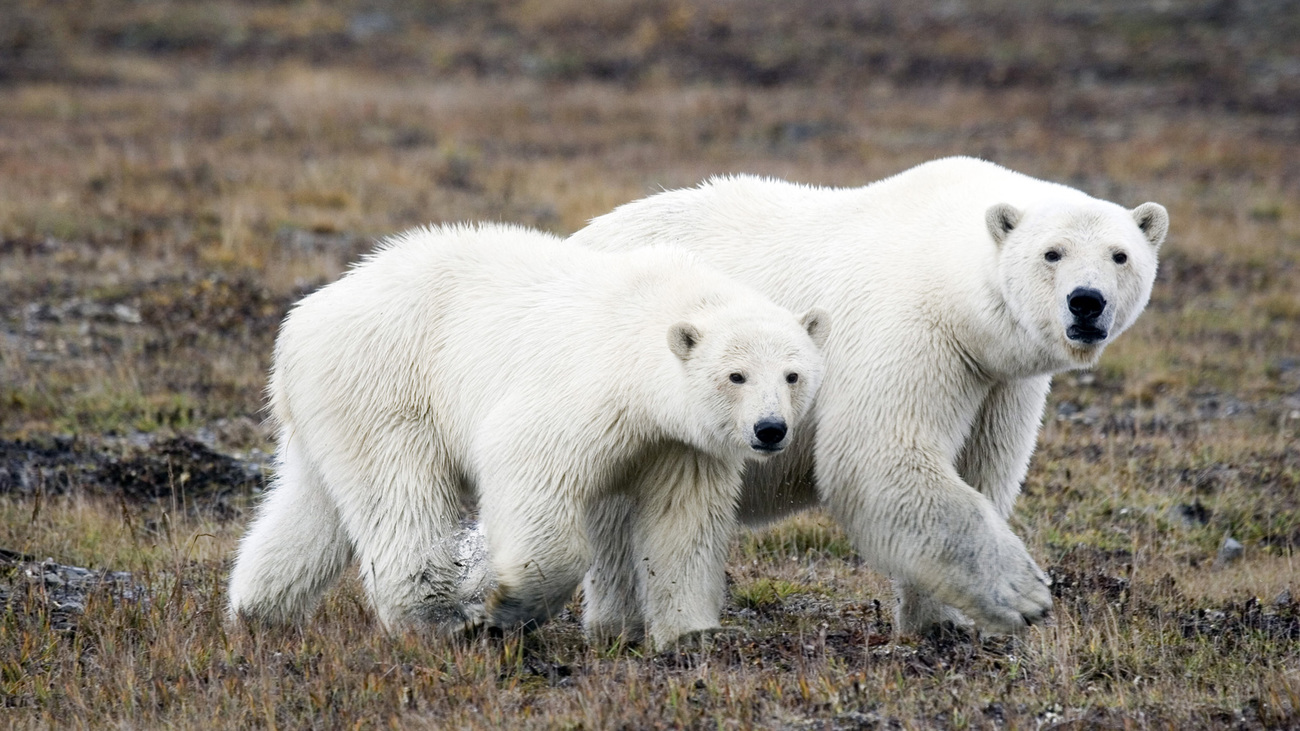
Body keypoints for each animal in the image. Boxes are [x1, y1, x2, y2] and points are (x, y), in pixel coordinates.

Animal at [227, 225, 826, 645]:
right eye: (736, 375)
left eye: (793, 375)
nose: (770, 429)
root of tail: (302, 320)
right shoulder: (586, 391)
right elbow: (530, 473)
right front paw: (505, 606)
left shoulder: (680, 445)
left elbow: (684, 524)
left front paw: (689, 635)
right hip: (386, 383)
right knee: (400, 494)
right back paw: (436, 616)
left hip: (329, 407)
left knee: (312, 507)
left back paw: (258, 612)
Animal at [569, 158, 1170, 632]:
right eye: (1052, 253)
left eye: (1119, 255)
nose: (1086, 302)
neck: (950, 275)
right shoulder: (909, 330)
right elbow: (880, 456)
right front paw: (1023, 594)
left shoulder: (999, 380)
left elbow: (982, 466)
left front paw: (941, 622)